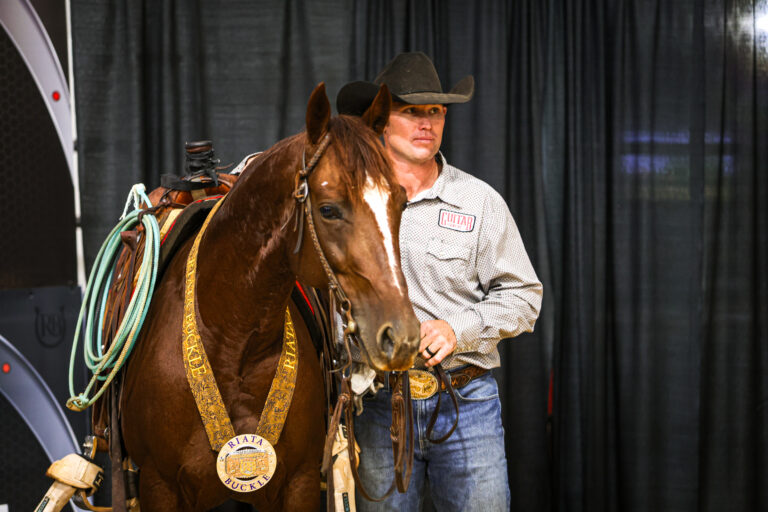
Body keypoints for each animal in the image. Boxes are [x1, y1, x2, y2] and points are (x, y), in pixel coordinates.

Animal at [121, 85, 420, 512]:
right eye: (329, 209)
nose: (401, 335)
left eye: (401, 202)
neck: (231, 339)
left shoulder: (299, 483)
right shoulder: (158, 486)